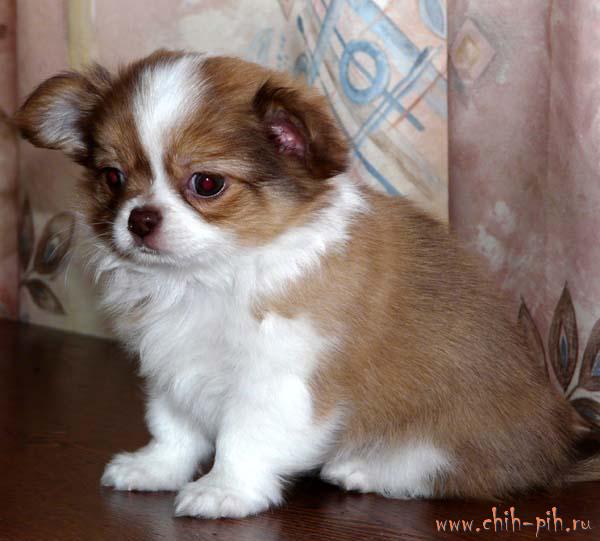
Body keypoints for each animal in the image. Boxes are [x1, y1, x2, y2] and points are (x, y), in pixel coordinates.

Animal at [16, 50, 597, 519]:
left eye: (207, 183)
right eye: (112, 178)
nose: (139, 219)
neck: (213, 278)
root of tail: (558, 448)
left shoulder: (279, 380)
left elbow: (242, 438)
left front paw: (225, 491)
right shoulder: (173, 367)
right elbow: (173, 427)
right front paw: (156, 468)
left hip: (447, 437)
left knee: (440, 471)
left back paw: (363, 470)